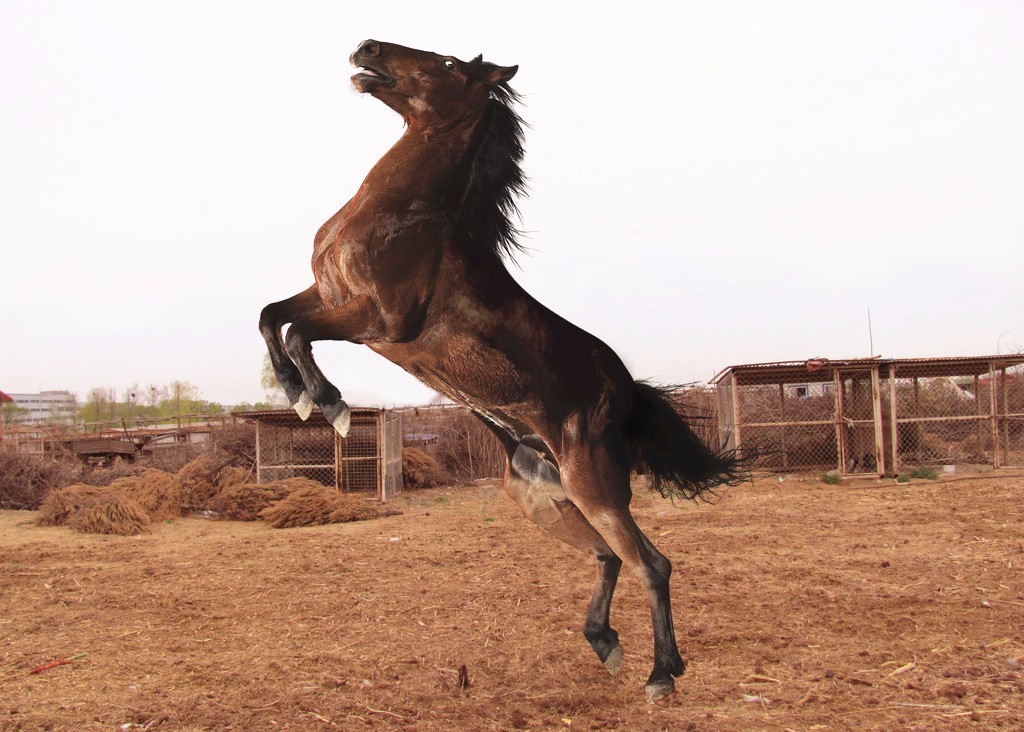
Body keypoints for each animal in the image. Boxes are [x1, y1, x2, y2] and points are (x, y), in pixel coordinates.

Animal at [262, 40, 745, 704]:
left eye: (445, 64)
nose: (366, 48)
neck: (405, 213)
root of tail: (622, 392)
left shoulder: (378, 320)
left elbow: (297, 332)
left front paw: (327, 404)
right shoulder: (327, 295)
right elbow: (273, 316)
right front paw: (299, 395)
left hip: (593, 486)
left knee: (651, 562)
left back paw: (660, 674)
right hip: (543, 499)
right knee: (609, 557)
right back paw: (608, 645)